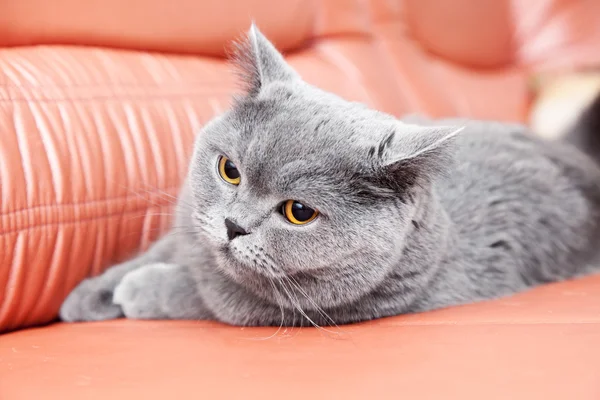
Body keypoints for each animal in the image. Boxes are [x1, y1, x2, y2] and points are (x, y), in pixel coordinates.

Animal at [59, 25, 600, 326]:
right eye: (229, 171)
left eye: (299, 212)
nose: (234, 226)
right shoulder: (188, 228)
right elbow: (157, 252)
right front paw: (87, 297)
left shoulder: (300, 308)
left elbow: (209, 297)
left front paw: (139, 292)